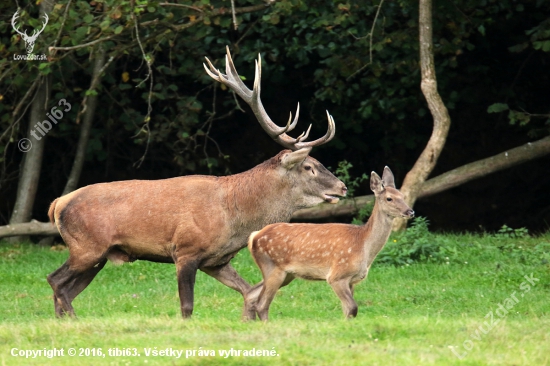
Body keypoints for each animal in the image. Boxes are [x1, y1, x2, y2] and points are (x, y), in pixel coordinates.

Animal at [249, 167, 414, 320]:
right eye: (389, 198)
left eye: (402, 196)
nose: (410, 211)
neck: (363, 245)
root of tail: (254, 237)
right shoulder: (337, 275)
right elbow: (353, 308)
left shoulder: (351, 280)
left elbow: (348, 311)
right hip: (273, 267)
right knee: (262, 304)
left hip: (286, 274)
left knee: (253, 294)